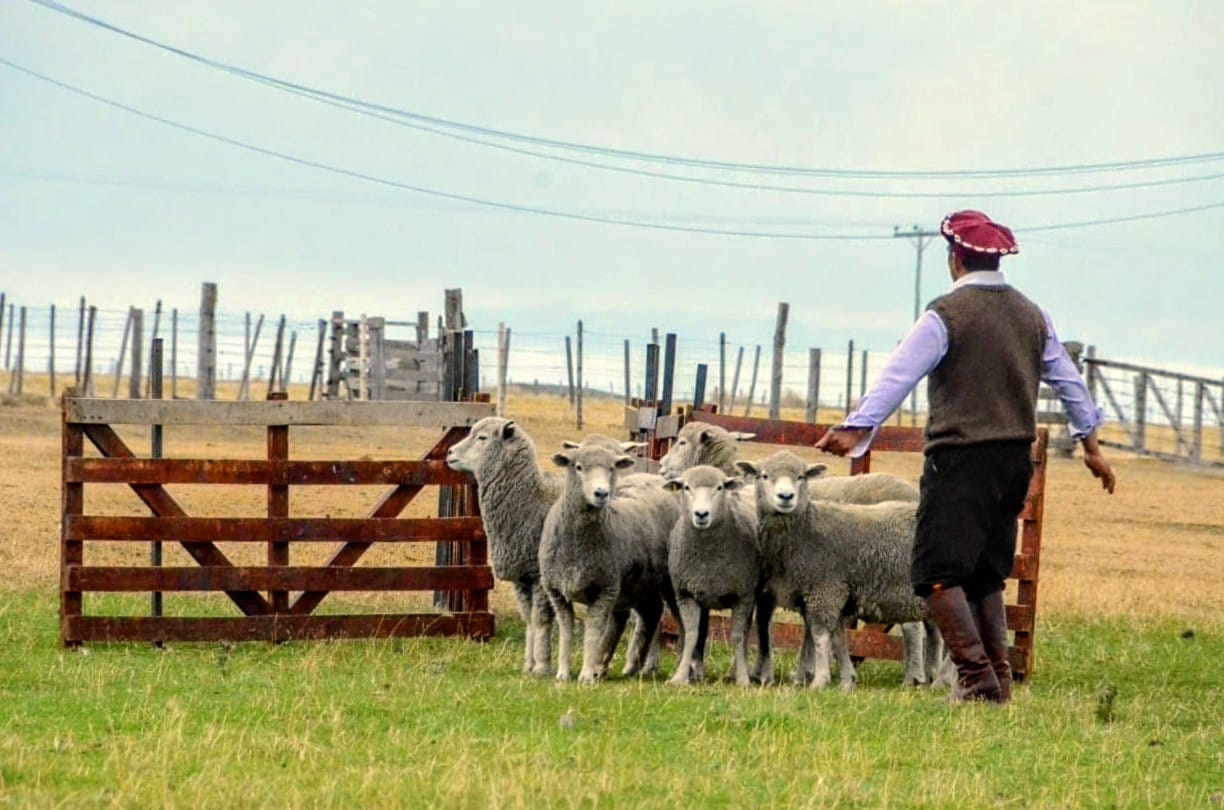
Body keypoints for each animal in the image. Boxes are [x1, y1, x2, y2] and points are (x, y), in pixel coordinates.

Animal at [543, 445, 685, 685]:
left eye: (611, 468)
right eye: (578, 467)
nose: (601, 493)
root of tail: (658, 480)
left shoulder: (604, 589)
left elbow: (593, 632)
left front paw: (586, 675)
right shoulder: (556, 591)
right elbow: (566, 630)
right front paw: (563, 673)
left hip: (668, 580)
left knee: (685, 620)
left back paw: (684, 666)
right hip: (637, 583)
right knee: (651, 611)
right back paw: (630, 666)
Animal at [665, 467, 758, 690]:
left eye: (720, 487)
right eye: (686, 487)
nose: (701, 514)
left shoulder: (742, 595)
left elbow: (737, 637)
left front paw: (743, 679)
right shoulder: (686, 594)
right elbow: (691, 635)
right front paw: (679, 677)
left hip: (751, 595)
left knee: (745, 632)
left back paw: (738, 670)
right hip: (703, 596)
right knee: (702, 632)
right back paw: (698, 672)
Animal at [729, 450, 930, 690]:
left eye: (801, 476)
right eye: (764, 475)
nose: (786, 497)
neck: (806, 528)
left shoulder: (824, 589)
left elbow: (819, 634)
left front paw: (816, 680)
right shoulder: (805, 591)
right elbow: (829, 635)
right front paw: (841, 679)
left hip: (903, 589)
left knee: (914, 629)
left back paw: (916, 679)